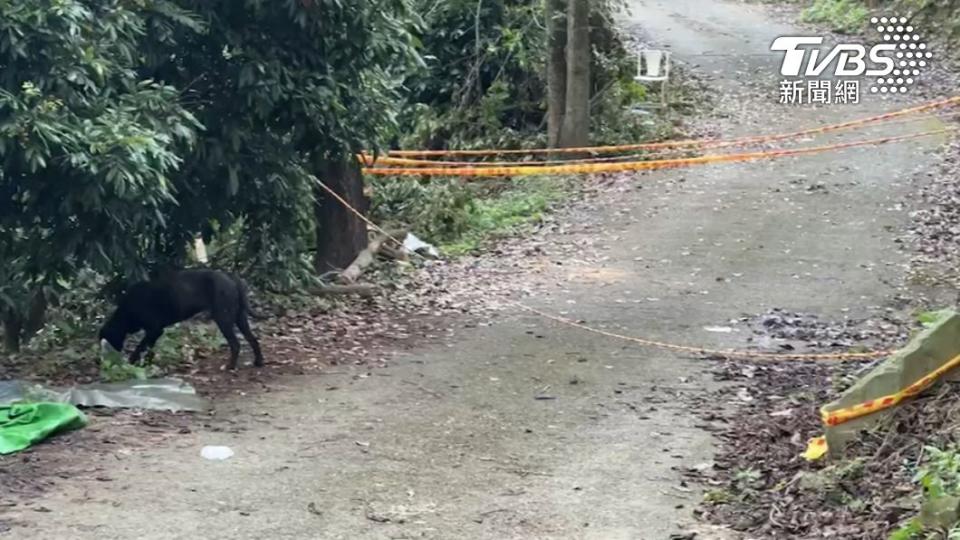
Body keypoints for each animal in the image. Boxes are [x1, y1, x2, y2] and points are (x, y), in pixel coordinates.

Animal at [99, 268, 264, 370]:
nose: (99, 360)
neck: (126, 312)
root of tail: (231, 277)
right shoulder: (154, 333)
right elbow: (149, 349)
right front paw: (146, 364)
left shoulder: (154, 330)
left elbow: (141, 347)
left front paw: (133, 362)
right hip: (239, 317)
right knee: (253, 339)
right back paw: (258, 362)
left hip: (223, 318)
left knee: (236, 344)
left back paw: (230, 366)